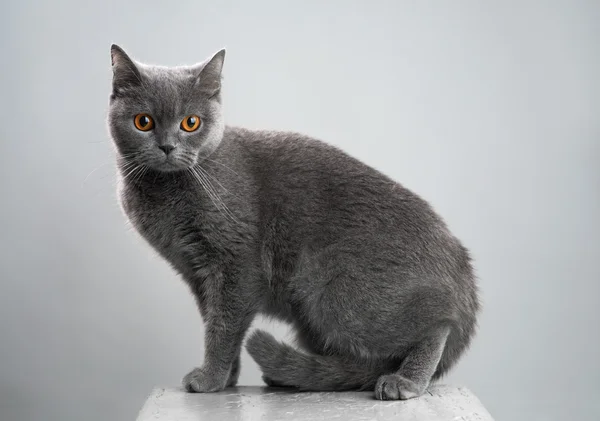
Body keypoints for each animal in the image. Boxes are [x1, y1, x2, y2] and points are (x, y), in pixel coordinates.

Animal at [108, 44, 480, 398]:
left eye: (191, 123)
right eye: (143, 121)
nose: (167, 146)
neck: (166, 190)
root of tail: (463, 275)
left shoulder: (236, 265)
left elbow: (224, 326)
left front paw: (210, 378)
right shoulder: (197, 274)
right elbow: (215, 322)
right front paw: (226, 379)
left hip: (334, 291)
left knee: (436, 325)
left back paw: (405, 381)